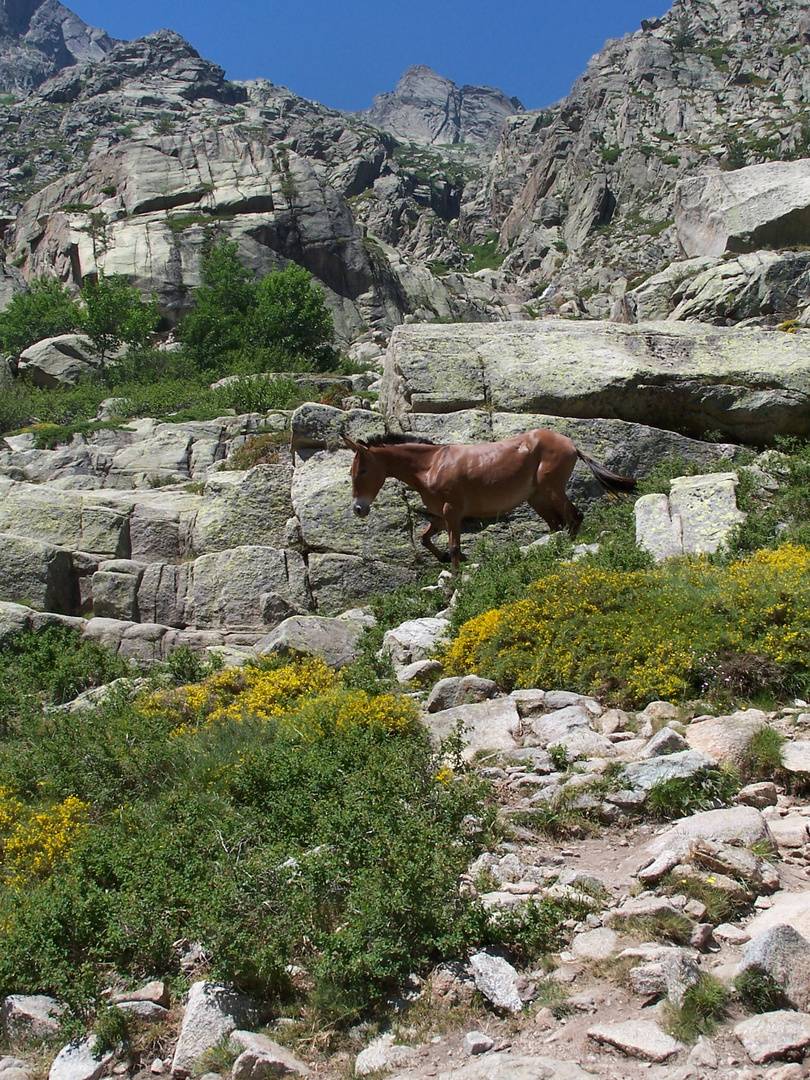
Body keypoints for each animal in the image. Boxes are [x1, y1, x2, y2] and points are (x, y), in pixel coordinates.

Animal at [343, 429, 639, 574]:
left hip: (551, 489)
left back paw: (565, 551)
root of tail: (570, 444)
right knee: (557, 525)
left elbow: (453, 546)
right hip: (537, 498)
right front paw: (448, 560)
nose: (359, 508)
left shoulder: (452, 513)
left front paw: (455, 579)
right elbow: (426, 539)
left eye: (362, 471)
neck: (431, 465)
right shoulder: (441, 516)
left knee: (574, 517)